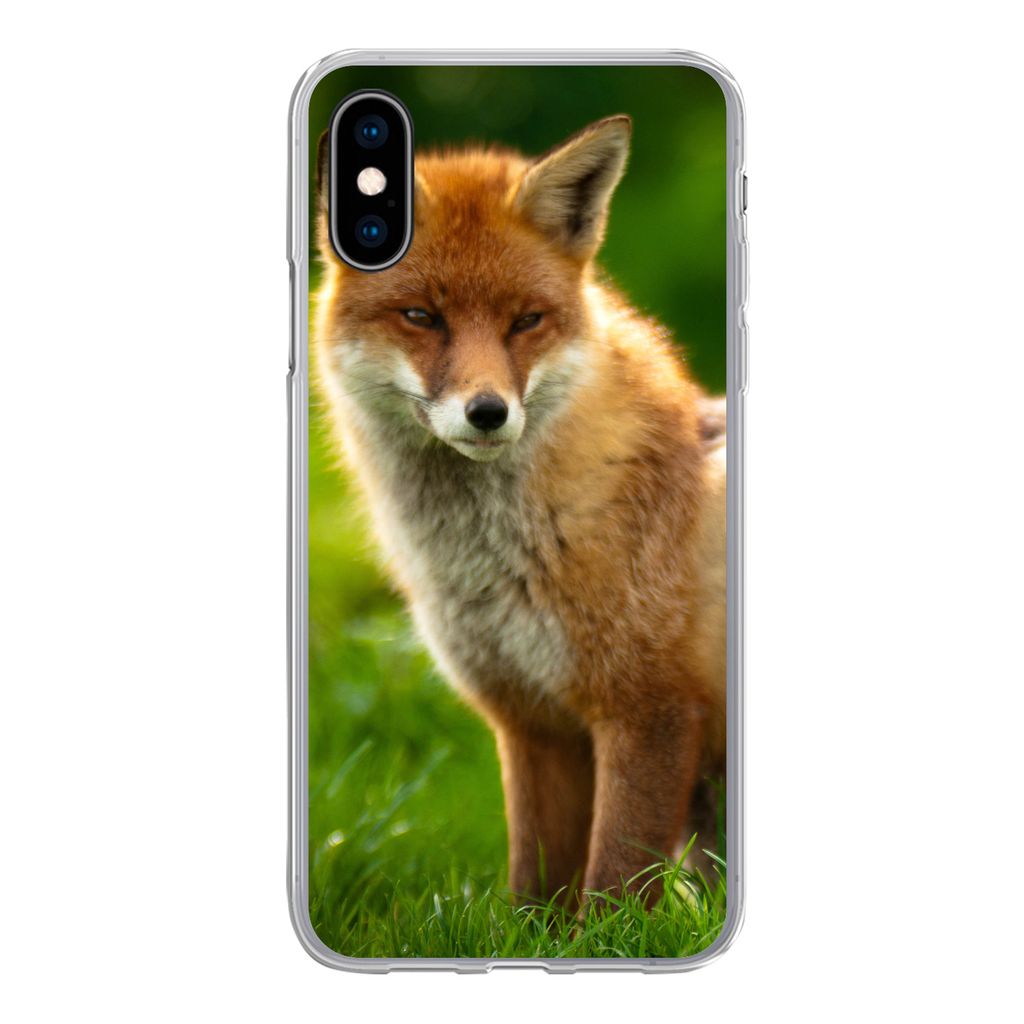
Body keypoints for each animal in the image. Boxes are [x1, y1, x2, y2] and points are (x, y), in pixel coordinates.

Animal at [313, 115, 727, 906]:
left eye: (526, 321)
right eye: (422, 317)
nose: (487, 412)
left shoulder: (650, 710)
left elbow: (614, 884)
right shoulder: (531, 722)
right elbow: (533, 888)